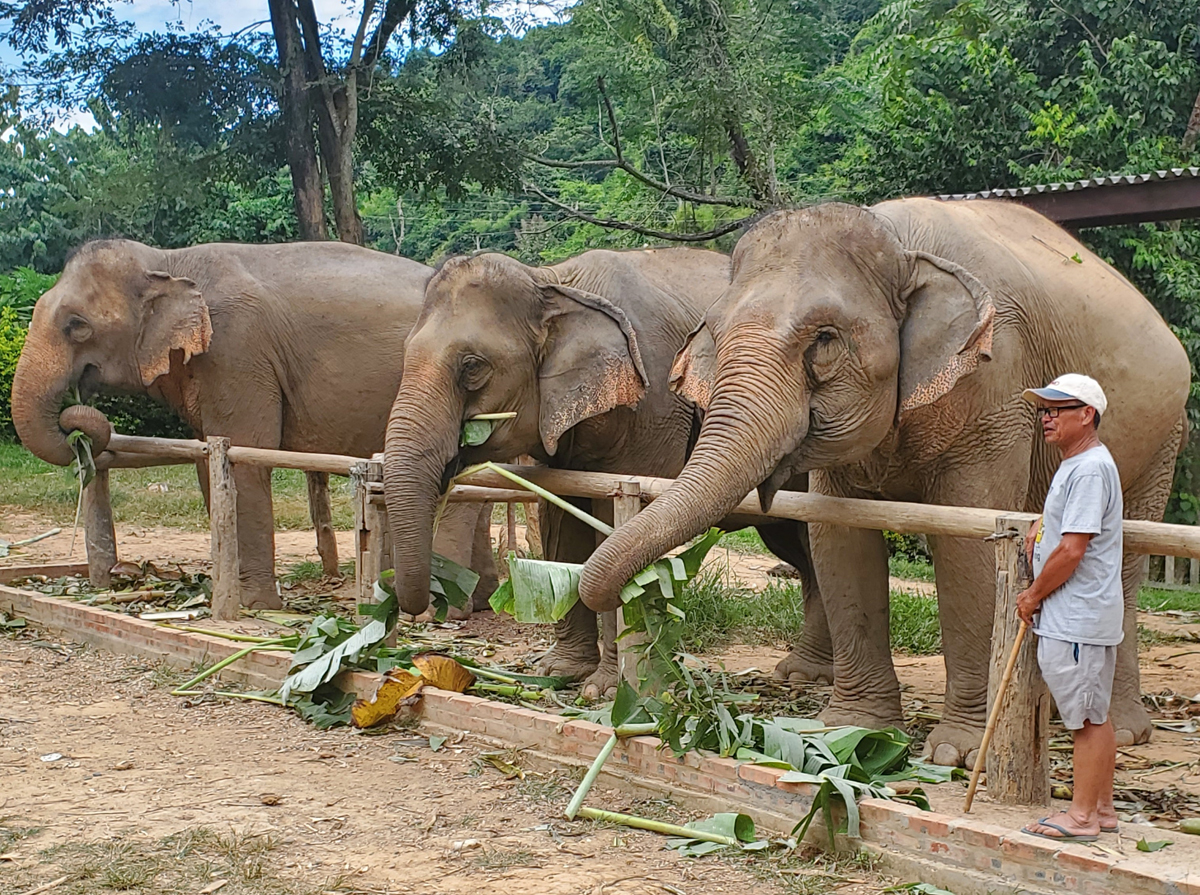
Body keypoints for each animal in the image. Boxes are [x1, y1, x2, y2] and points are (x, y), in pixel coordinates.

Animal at [11, 238, 498, 610]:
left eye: (77, 325)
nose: (78, 423)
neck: (168, 260)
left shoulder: (237, 349)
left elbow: (247, 455)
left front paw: (256, 605)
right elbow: (209, 461)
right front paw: (231, 594)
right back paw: (480, 601)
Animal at [380, 246, 827, 694]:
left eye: (472, 366)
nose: (417, 612)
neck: (551, 280)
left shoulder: (656, 405)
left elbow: (611, 529)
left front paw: (607, 689)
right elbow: (561, 525)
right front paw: (558, 673)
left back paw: (804, 675)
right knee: (798, 548)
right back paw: (804, 671)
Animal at [577, 198, 1189, 764]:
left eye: (824, 339)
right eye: (718, 335)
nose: (646, 598)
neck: (899, 244)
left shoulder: (996, 389)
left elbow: (965, 547)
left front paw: (955, 753)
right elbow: (838, 539)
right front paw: (850, 733)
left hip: (1162, 438)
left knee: (1124, 563)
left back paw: (1118, 732)